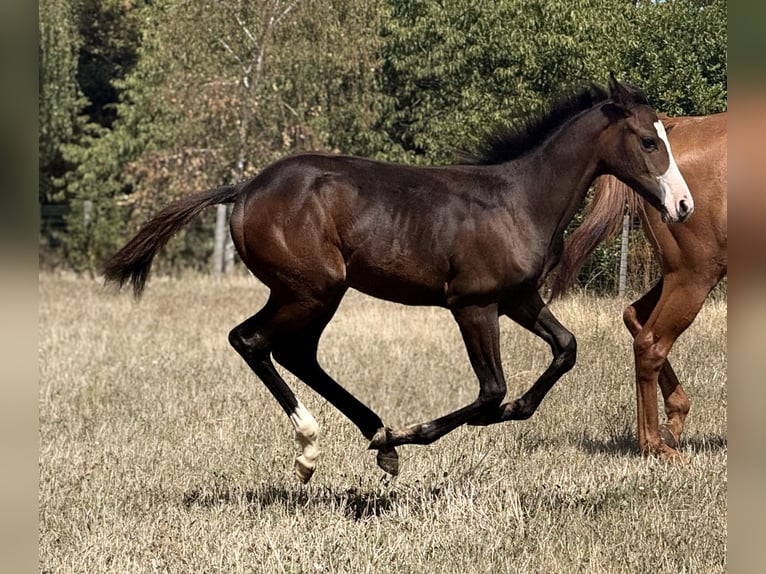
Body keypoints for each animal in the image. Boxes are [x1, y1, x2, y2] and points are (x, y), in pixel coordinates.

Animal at [103, 75, 693, 483]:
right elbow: (490, 391)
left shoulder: (518, 300)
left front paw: (510, 412)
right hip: (309, 290)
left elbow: (565, 349)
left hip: (316, 294)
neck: (518, 201)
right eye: (648, 141)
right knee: (251, 340)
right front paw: (422, 431)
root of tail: (245, 189)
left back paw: (378, 438)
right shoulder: (473, 305)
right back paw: (315, 448)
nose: (683, 206)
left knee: (297, 353)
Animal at [549, 112, 726, 458]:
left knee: (634, 315)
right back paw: (655, 444)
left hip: (678, 276)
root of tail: (677, 126)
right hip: (694, 276)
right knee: (649, 343)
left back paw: (672, 422)